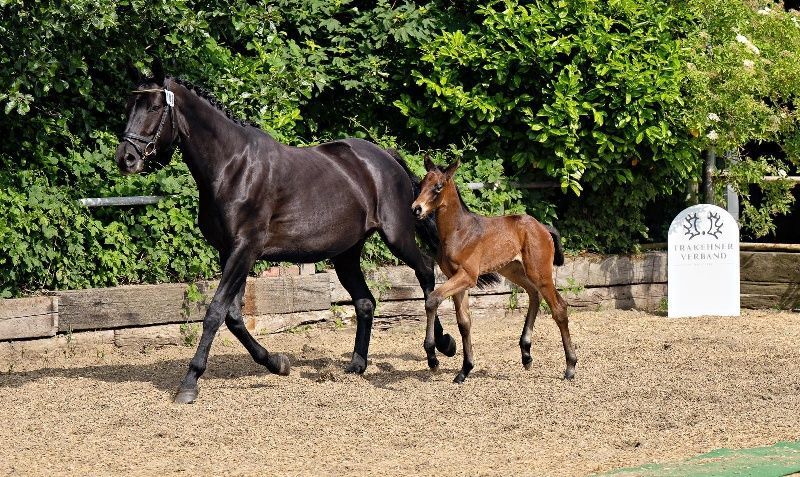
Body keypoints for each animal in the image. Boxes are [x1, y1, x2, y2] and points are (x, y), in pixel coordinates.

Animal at [114, 60, 458, 403]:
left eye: (155, 106)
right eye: (129, 105)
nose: (126, 158)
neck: (233, 167)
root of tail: (386, 157)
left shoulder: (245, 249)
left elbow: (215, 311)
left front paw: (189, 383)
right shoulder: (229, 252)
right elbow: (233, 316)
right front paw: (277, 363)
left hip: (397, 235)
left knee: (425, 270)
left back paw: (440, 348)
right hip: (347, 252)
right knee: (365, 302)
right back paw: (357, 364)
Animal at [410, 156, 577, 383]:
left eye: (438, 186)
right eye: (421, 184)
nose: (416, 209)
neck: (458, 231)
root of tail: (543, 227)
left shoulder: (467, 276)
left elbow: (432, 300)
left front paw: (433, 359)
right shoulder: (456, 278)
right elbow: (464, 322)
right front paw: (465, 370)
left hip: (540, 272)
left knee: (558, 307)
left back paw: (570, 366)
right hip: (513, 270)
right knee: (534, 295)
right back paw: (526, 355)